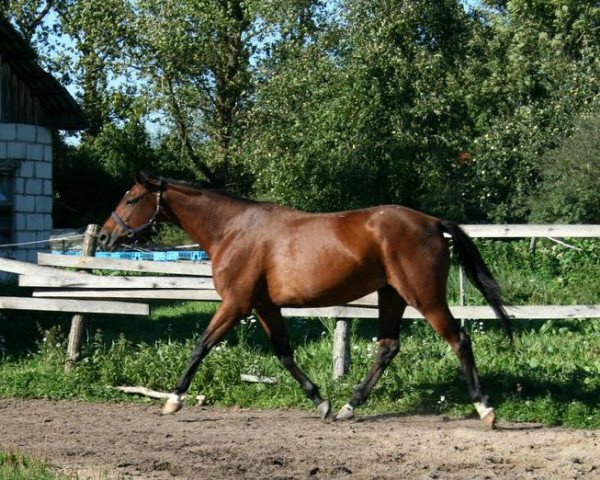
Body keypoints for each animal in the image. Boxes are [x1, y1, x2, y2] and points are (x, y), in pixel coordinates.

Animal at [98, 172, 510, 428]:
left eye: (132, 198)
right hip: (391, 295)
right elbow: (283, 353)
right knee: (387, 347)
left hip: (423, 296)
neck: (232, 230)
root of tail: (433, 222)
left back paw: (485, 408)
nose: (104, 237)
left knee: (459, 340)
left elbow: (201, 345)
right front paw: (321, 401)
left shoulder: (235, 304)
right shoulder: (264, 306)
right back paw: (347, 407)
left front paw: (173, 399)